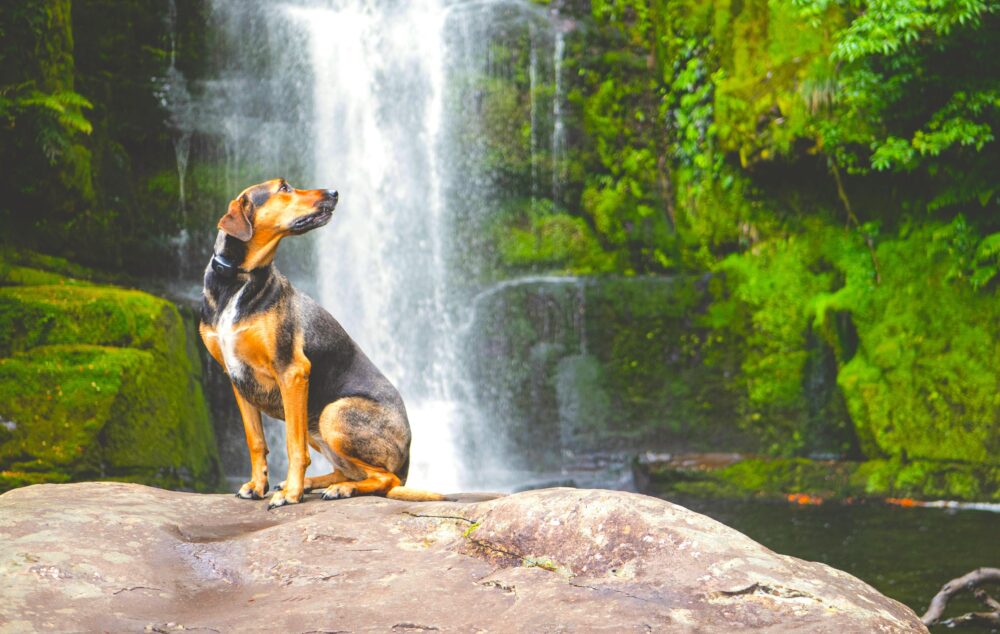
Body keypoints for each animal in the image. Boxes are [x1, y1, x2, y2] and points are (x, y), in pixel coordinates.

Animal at [197, 180, 444, 506]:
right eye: (284, 188)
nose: (334, 193)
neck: (238, 280)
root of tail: (407, 463)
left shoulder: (292, 372)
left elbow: (293, 446)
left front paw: (291, 494)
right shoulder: (237, 379)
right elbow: (256, 441)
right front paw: (258, 486)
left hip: (332, 414)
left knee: (383, 478)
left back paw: (339, 489)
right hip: (318, 423)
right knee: (350, 471)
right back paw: (320, 483)